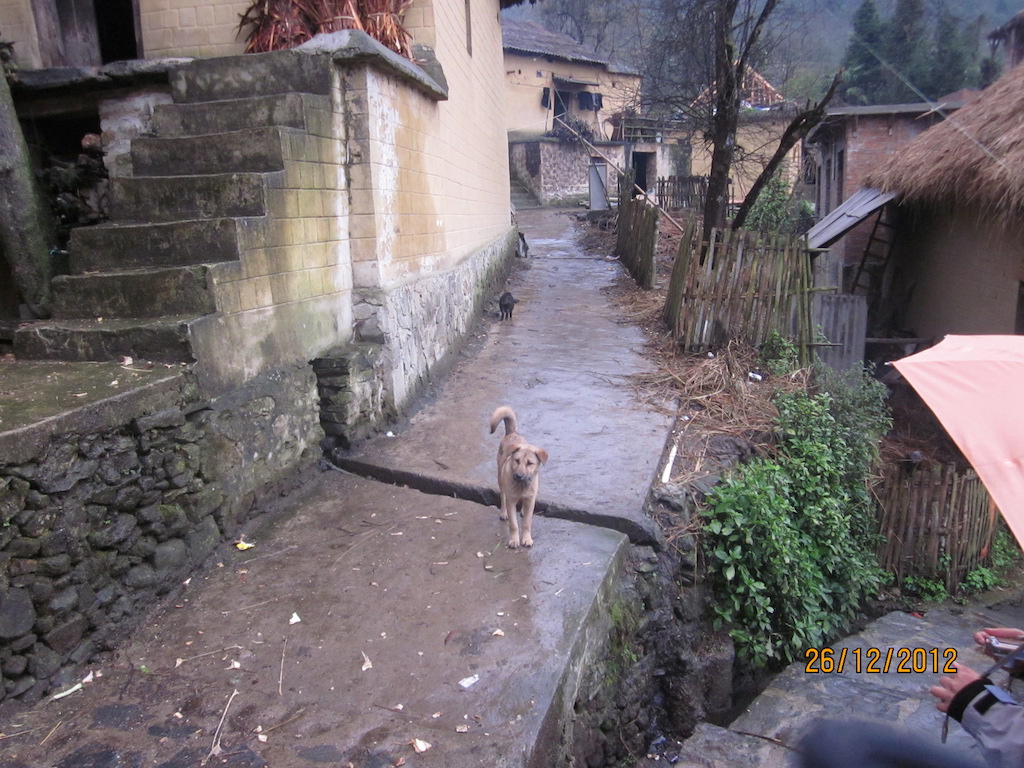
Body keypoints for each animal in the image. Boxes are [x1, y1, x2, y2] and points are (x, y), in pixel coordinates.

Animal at [489, 405, 548, 548]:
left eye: (530, 463)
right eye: (516, 460)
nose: (518, 475)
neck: (522, 485)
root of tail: (512, 433)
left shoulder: (530, 499)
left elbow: (527, 522)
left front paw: (526, 539)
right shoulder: (511, 501)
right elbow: (513, 524)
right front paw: (514, 540)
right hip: (500, 478)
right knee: (502, 496)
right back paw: (503, 513)